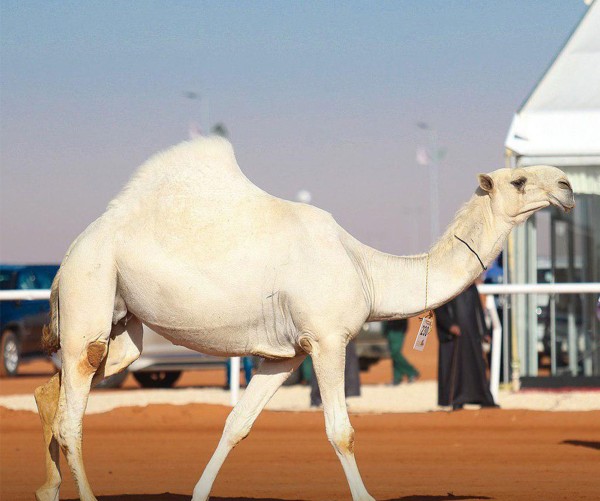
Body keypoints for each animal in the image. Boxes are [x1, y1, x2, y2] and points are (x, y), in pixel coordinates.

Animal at [35, 137, 576, 500]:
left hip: (122, 327)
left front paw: (199, 492)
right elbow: (341, 431)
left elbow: (236, 424)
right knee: (73, 414)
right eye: (519, 180)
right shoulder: (327, 339)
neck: (367, 271)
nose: (568, 185)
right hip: (90, 289)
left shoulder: (285, 356)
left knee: (55, 390)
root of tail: (69, 255)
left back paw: (47, 488)